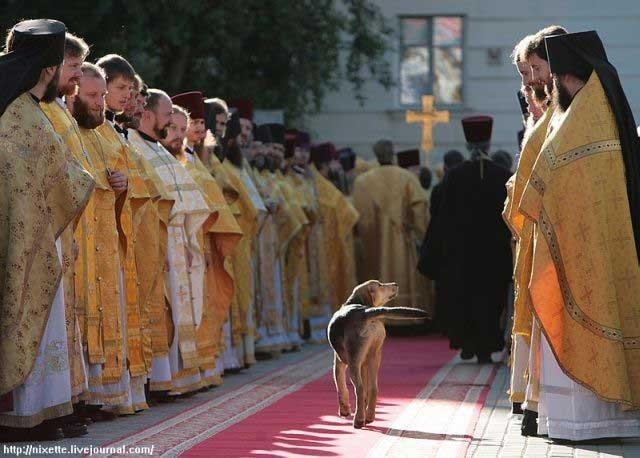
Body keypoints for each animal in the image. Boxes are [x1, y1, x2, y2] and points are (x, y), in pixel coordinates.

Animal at [328, 280, 428, 430]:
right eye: (380, 285)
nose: (396, 284)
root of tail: (365, 312)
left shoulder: (339, 363)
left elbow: (341, 387)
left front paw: (344, 410)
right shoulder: (363, 364)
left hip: (353, 362)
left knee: (360, 389)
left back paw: (359, 420)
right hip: (374, 357)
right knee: (373, 388)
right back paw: (369, 416)